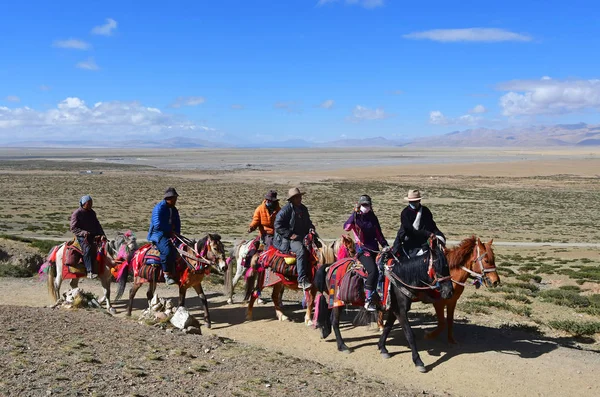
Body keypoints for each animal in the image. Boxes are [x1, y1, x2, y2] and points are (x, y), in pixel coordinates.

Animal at [316, 235, 452, 372]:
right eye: (439, 266)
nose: (449, 292)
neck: (400, 277)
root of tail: (331, 266)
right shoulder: (400, 311)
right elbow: (409, 334)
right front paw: (418, 361)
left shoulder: (393, 309)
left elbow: (387, 328)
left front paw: (382, 348)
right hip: (337, 300)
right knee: (335, 320)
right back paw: (342, 346)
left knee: (330, 315)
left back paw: (325, 331)